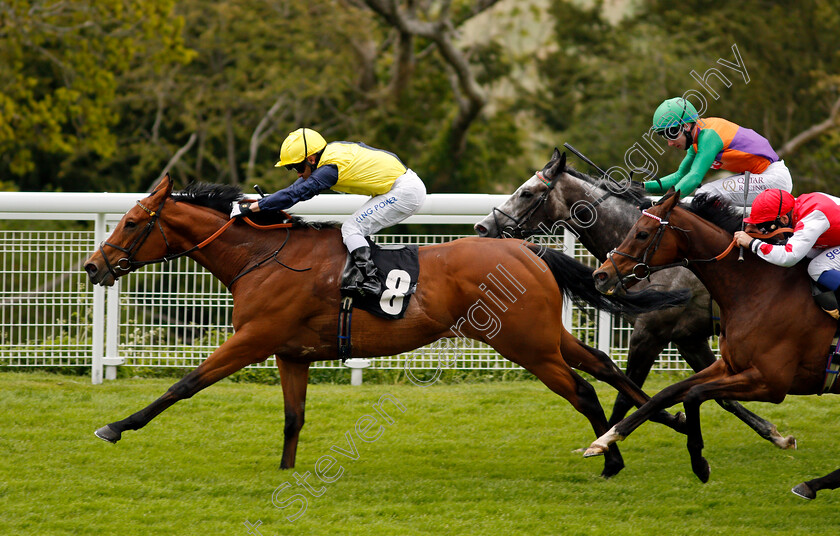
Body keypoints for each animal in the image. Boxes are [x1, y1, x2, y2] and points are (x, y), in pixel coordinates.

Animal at [82, 175, 692, 478]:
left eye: (132, 223)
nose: (93, 266)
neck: (261, 257)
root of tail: (527, 251)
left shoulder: (252, 339)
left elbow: (185, 384)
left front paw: (116, 426)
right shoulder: (290, 352)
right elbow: (293, 418)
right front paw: (285, 471)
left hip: (527, 346)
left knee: (584, 390)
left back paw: (612, 458)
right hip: (545, 334)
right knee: (606, 365)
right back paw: (671, 424)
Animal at [476, 148, 796, 448]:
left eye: (526, 192)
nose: (483, 227)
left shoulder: (649, 334)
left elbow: (625, 397)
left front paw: (606, 444)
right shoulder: (688, 339)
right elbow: (722, 397)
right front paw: (774, 433)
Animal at [588, 189, 840, 498]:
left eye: (642, 233)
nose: (600, 275)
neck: (760, 290)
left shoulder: (771, 382)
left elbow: (693, 395)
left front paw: (699, 463)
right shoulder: (727, 364)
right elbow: (667, 393)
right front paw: (605, 439)